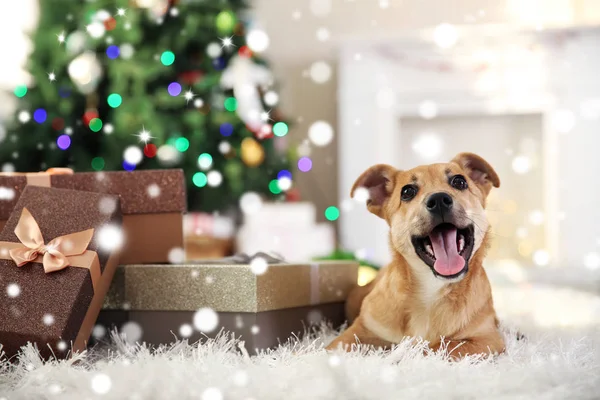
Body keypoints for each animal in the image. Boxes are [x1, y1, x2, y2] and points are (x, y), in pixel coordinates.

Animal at [328, 152, 506, 358]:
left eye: (460, 182)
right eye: (407, 192)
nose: (439, 200)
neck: (431, 290)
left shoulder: (487, 339)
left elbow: (438, 348)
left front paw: (400, 356)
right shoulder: (359, 331)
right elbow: (330, 349)